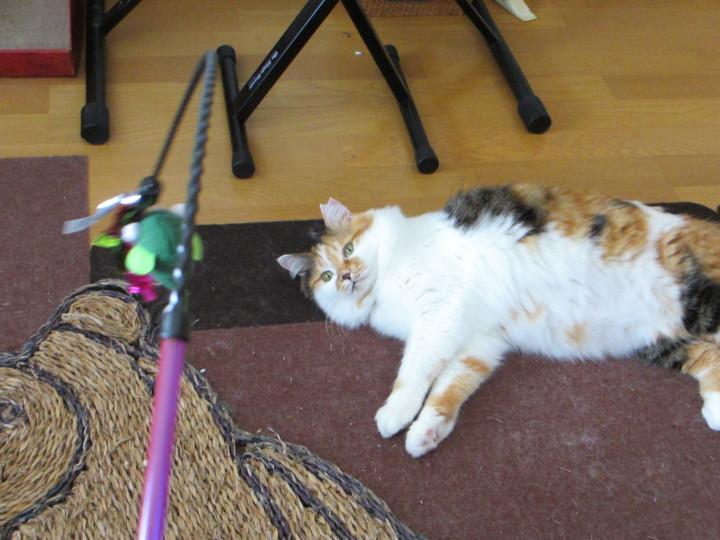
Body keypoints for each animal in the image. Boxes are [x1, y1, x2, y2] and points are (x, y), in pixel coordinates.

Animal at [277, 184, 720, 458]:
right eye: (326, 276)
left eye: (349, 249)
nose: (348, 276)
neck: (387, 280)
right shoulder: (480, 340)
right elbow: (450, 386)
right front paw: (427, 432)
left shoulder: (439, 316)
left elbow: (415, 371)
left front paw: (395, 414)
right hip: (663, 339)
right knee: (709, 356)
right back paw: (716, 410)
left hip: (699, 299)